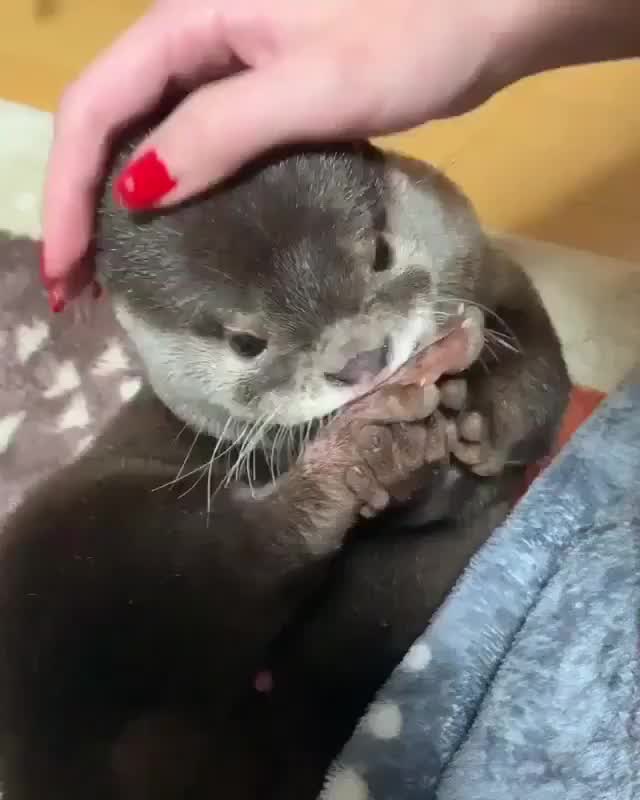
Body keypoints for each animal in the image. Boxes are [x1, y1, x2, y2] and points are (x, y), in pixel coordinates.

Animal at [0, 128, 568, 796]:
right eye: (247, 342)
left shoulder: (495, 269)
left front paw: (483, 404)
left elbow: (544, 366)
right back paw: (366, 449)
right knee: (250, 549)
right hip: (75, 538)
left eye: (379, 253)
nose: (361, 359)